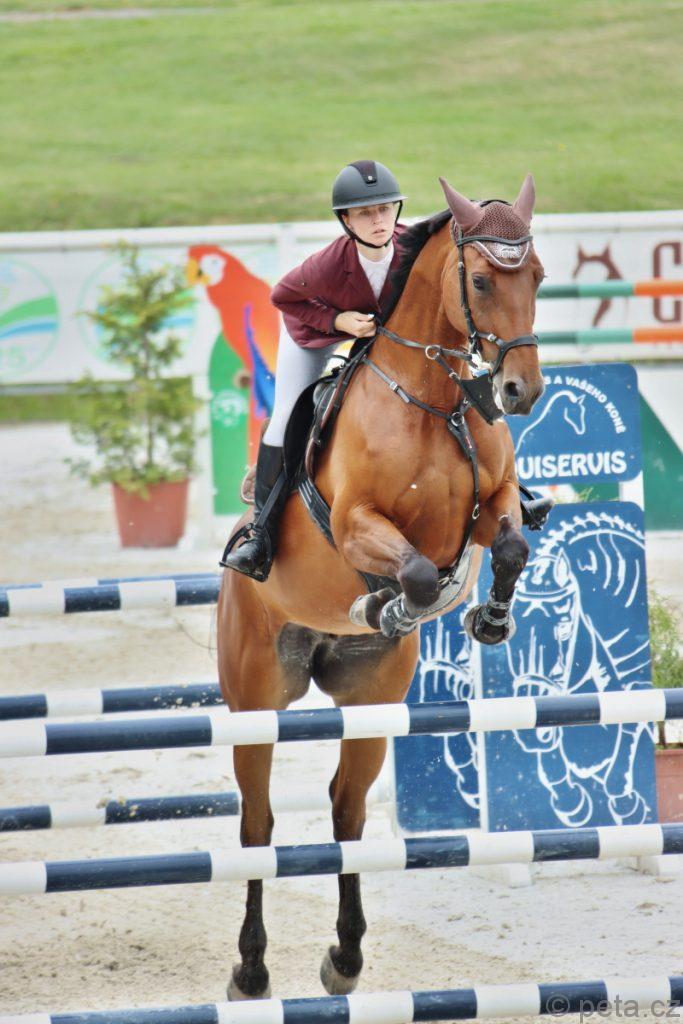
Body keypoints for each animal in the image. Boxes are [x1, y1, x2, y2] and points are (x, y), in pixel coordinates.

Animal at [216, 174, 547, 1001]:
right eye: (483, 280)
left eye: (537, 277)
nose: (520, 392)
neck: (431, 398)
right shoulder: (358, 523)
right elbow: (419, 572)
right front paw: (385, 601)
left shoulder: (491, 503)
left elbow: (510, 542)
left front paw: (489, 620)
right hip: (253, 700)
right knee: (257, 826)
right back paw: (250, 969)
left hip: (369, 699)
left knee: (347, 811)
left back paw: (345, 957)